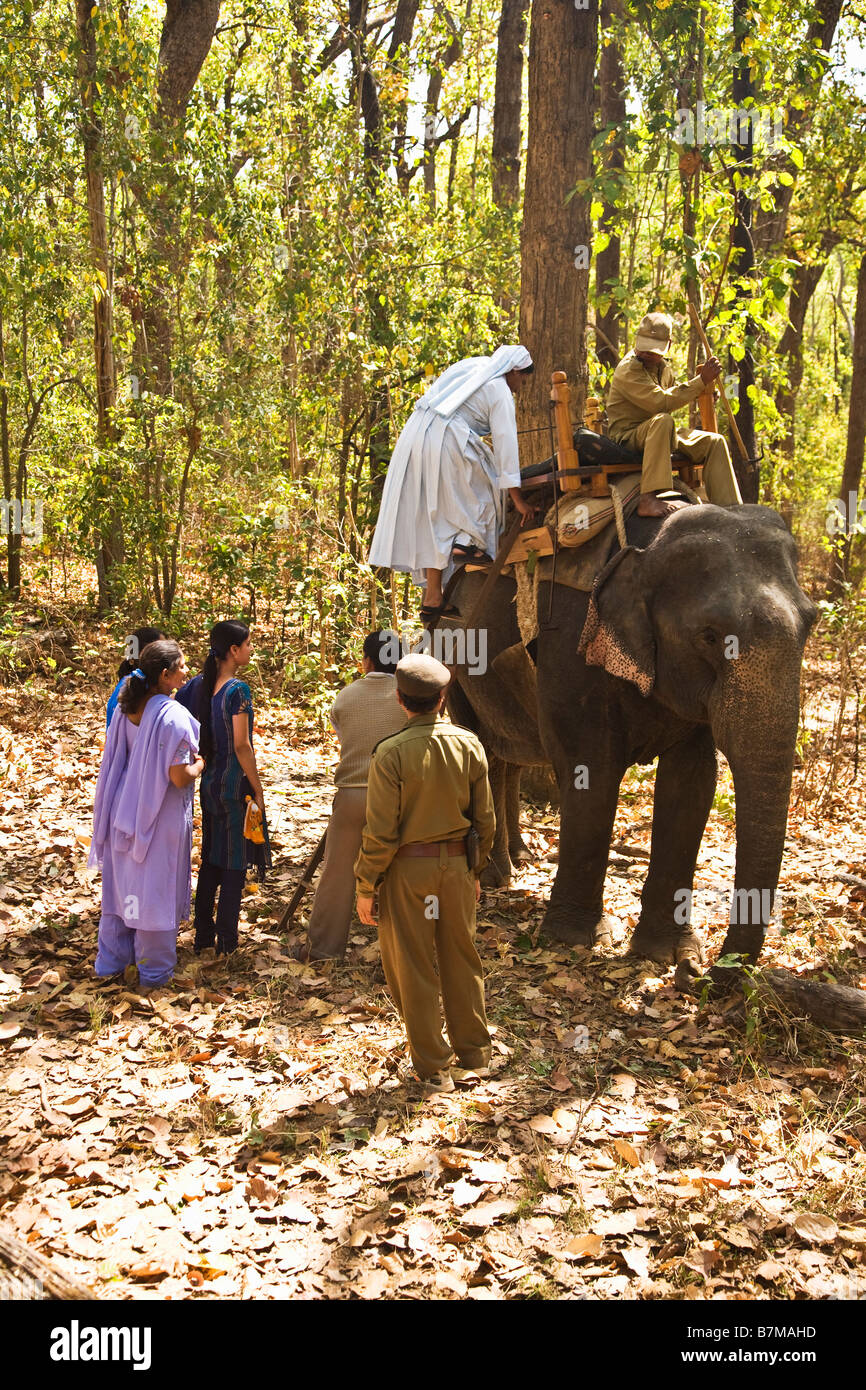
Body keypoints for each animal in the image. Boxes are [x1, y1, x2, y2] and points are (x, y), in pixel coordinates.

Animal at [447, 503, 817, 978]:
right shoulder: (569, 642)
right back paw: (492, 875)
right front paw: (574, 939)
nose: (699, 975)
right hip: (455, 659)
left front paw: (666, 953)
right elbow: (592, 770)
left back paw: (519, 859)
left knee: (509, 758)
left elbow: (691, 785)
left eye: (811, 624)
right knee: (482, 751)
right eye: (710, 636)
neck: (651, 540)